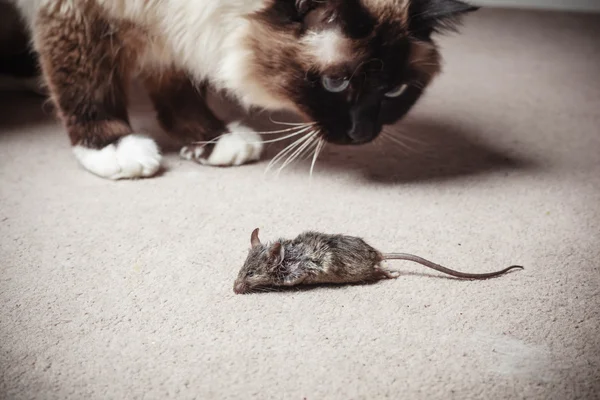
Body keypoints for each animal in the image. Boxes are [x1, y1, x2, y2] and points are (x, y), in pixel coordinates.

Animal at [5, 0, 478, 179]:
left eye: (395, 91)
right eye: (335, 82)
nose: (363, 134)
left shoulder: (168, 27)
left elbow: (177, 87)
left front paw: (211, 139)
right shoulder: (74, 12)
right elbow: (86, 82)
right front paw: (111, 147)